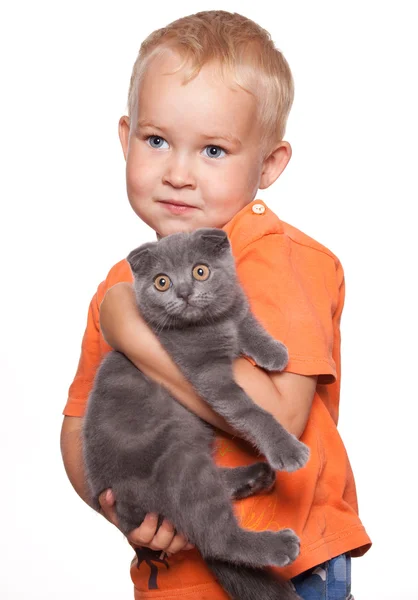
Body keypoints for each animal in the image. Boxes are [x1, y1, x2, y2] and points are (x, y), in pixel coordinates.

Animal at [83, 226, 308, 600]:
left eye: (200, 271)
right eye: (162, 282)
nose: (185, 292)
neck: (211, 323)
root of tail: (123, 512)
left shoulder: (236, 309)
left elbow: (247, 322)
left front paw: (273, 351)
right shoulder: (206, 373)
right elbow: (250, 409)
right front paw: (287, 449)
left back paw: (257, 476)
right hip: (178, 461)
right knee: (216, 535)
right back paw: (277, 543)